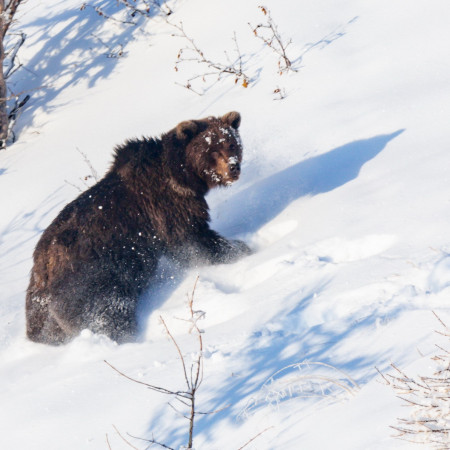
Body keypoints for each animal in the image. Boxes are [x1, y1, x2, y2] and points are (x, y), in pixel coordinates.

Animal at [25, 111, 250, 344]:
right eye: (212, 148)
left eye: (232, 143)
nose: (233, 167)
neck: (181, 175)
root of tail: (40, 272)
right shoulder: (166, 206)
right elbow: (192, 239)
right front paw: (240, 247)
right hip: (93, 280)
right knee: (109, 313)